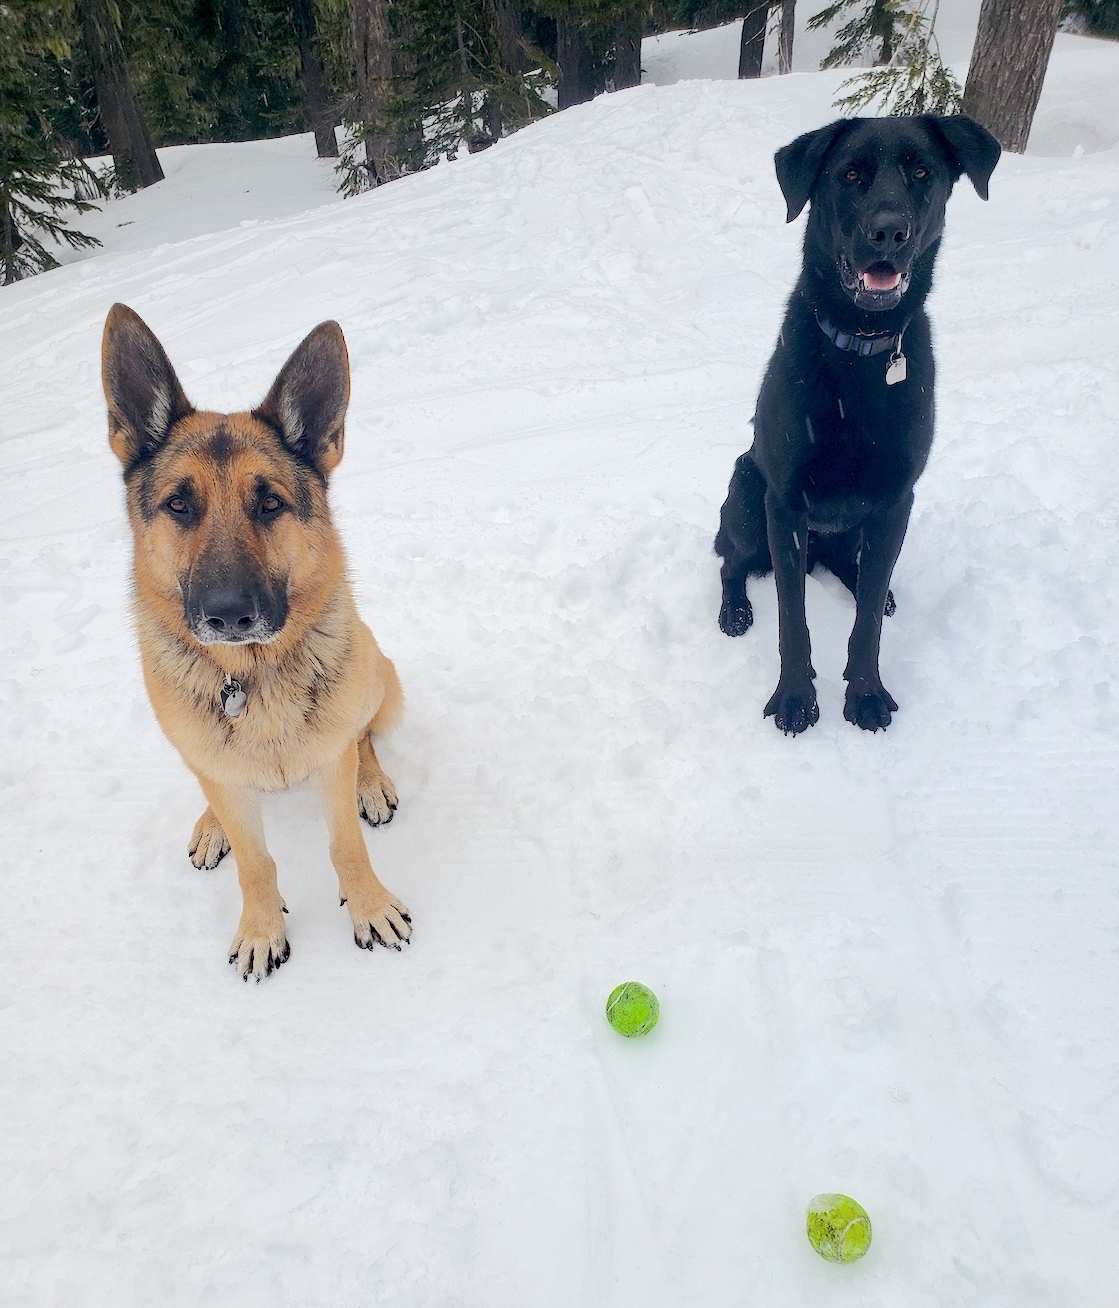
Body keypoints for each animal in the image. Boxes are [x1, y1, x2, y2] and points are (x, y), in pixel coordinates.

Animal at [102, 303, 410, 983]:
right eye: (179, 504)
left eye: (269, 503)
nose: (227, 616)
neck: (249, 677)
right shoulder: (221, 776)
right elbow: (255, 863)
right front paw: (262, 929)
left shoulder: (330, 763)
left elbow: (345, 845)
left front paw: (370, 906)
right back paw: (210, 824)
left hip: (377, 673)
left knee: (364, 736)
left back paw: (372, 783)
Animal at [711, 119, 998, 737]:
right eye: (850, 175)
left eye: (922, 172)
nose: (889, 231)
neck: (861, 351)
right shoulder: (784, 503)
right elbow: (791, 617)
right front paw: (795, 698)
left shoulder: (895, 501)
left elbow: (866, 622)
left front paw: (865, 693)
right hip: (746, 498)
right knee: (731, 563)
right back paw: (735, 609)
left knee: (858, 571)